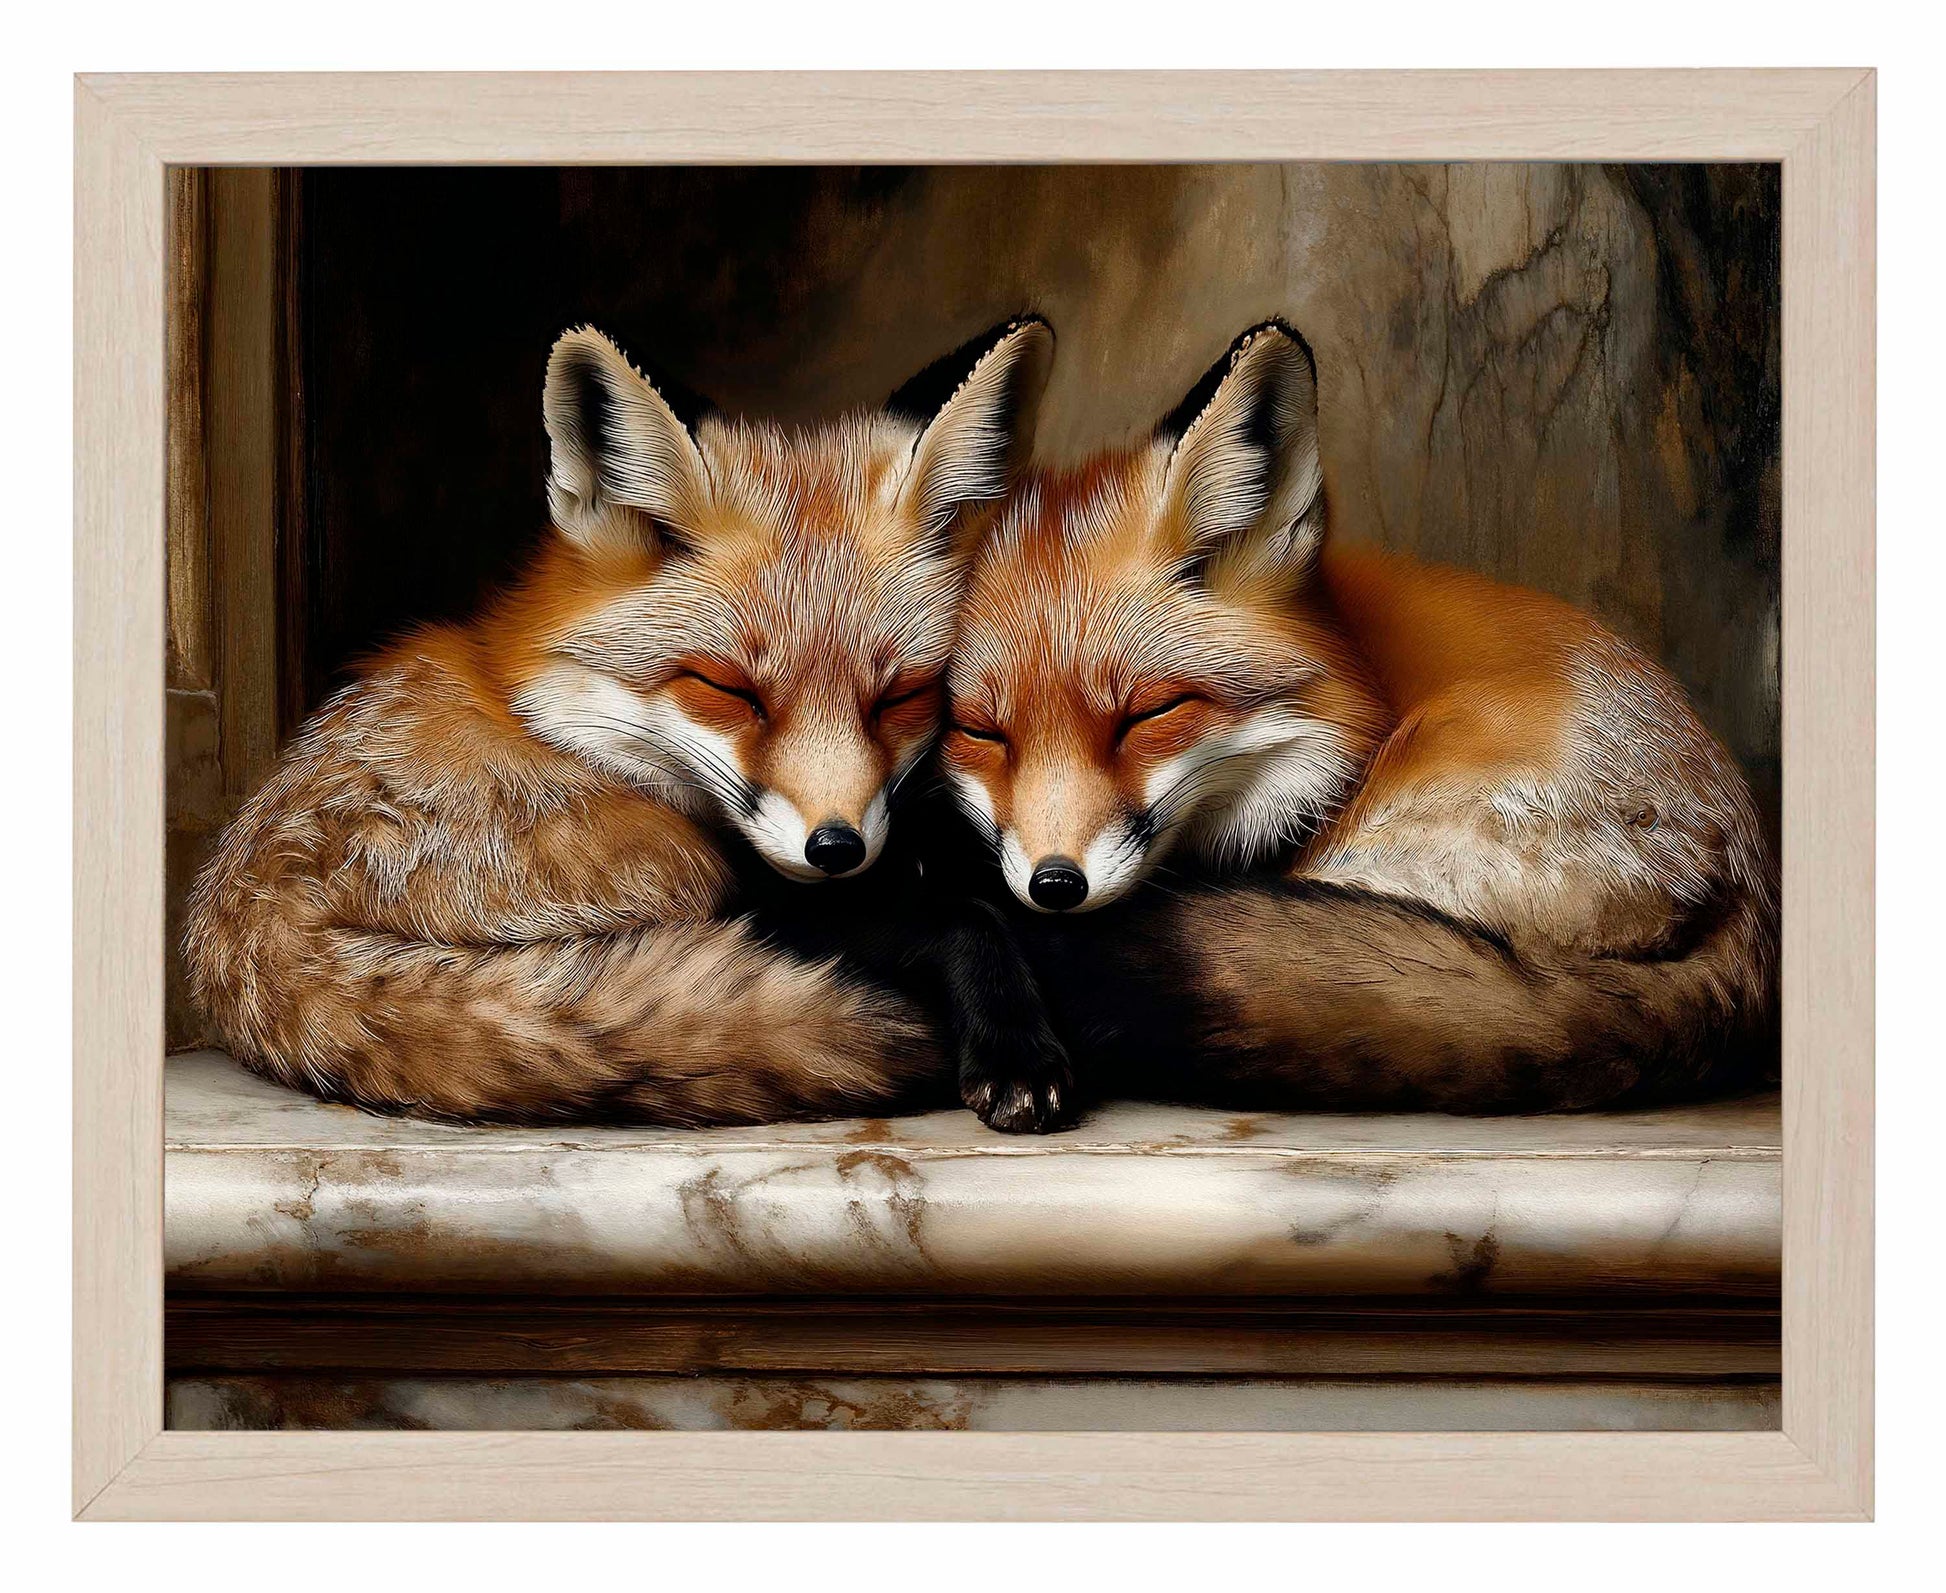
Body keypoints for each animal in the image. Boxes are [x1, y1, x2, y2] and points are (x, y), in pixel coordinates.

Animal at [183, 315, 1069, 1128]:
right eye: (729, 688)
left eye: (899, 696)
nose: (836, 848)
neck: (545, 705)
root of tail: (254, 926)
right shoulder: (768, 897)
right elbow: (965, 915)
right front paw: (1014, 1047)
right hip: (676, 865)